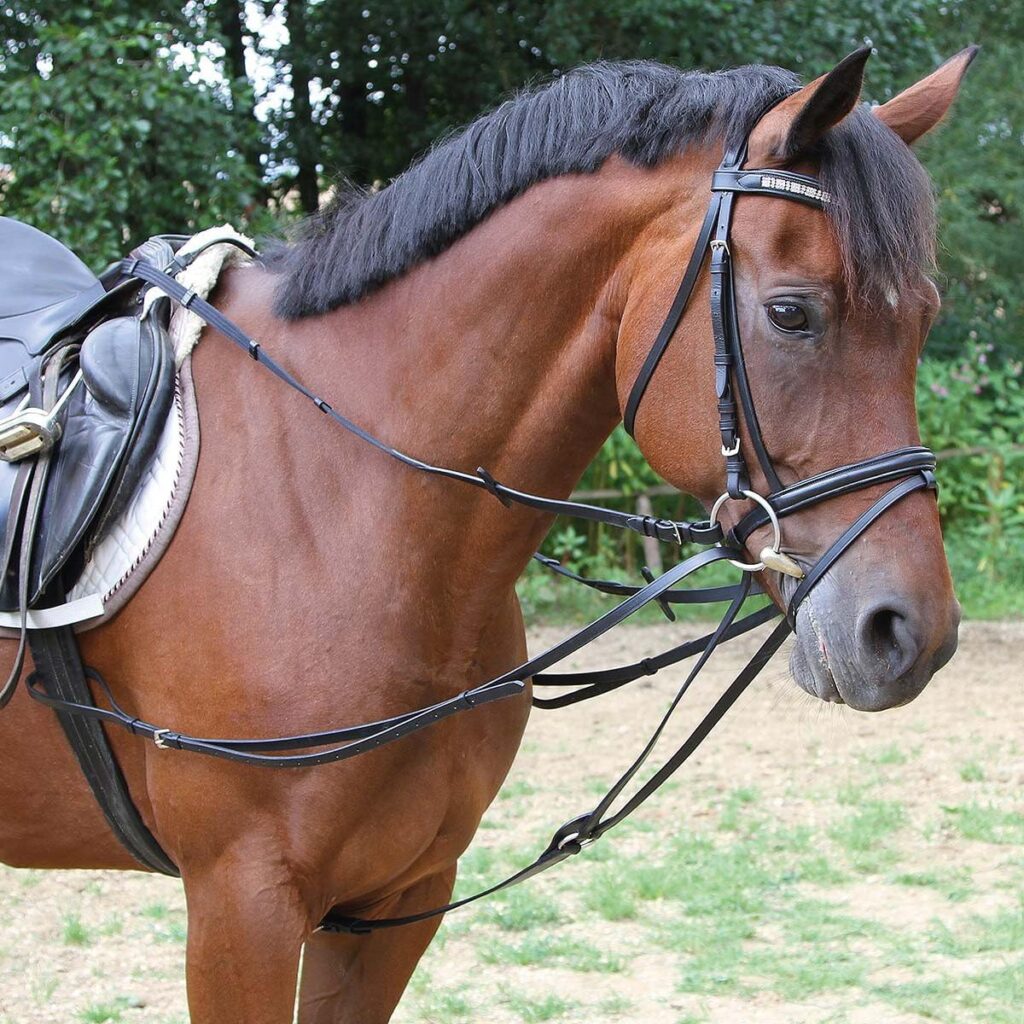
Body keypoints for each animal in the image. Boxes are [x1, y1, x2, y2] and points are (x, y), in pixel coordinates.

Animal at [0, 46, 973, 1023]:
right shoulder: (243, 905)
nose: (908, 634)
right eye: (791, 313)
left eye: (924, 319)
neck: (340, 505)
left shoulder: (399, 896)